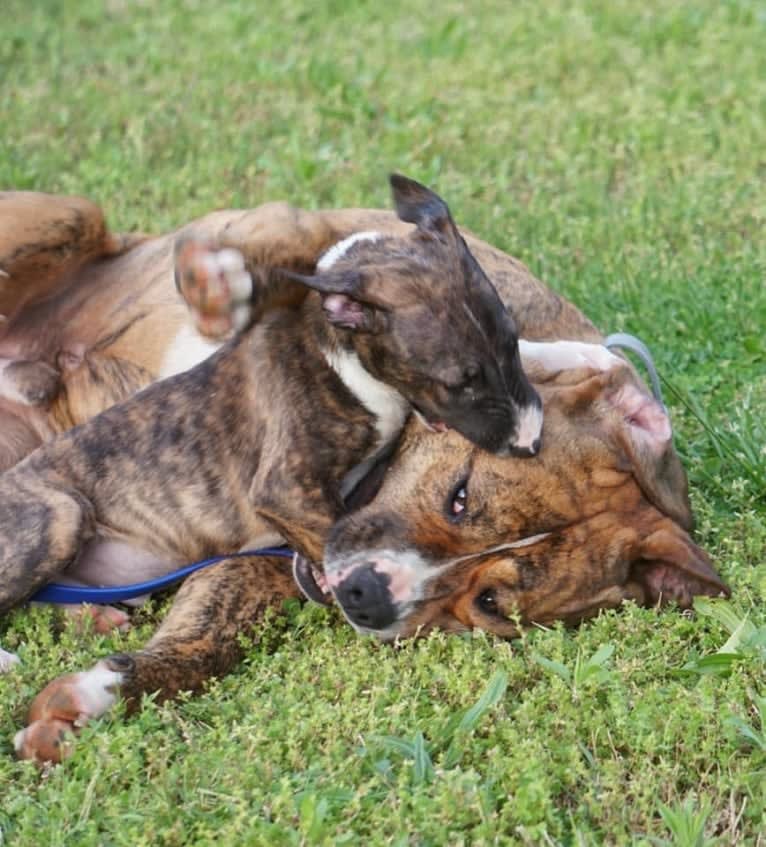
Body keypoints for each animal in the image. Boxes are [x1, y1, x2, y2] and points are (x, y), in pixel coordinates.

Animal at [0, 182, 728, 764]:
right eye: (459, 495)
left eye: (489, 604)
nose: (367, 597)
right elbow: (296, 243)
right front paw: (221, 286)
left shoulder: (255, 562)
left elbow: (205, 643)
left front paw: (98, 694)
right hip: (66, 217)